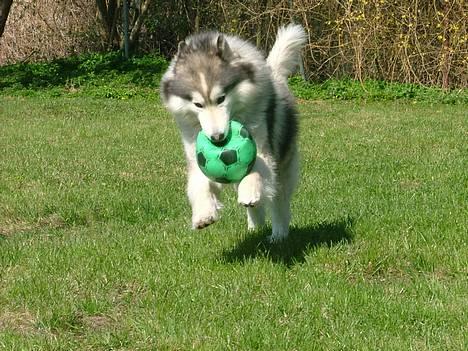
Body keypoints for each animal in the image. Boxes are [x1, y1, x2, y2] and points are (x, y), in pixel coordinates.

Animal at [161, 22, 308, 242]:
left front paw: (249, 191)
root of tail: (274, 73)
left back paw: (278, 234)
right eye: (198, 104)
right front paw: (203, 214)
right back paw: (255, 227)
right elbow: (199, 184)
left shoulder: (262, 147)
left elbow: (257, 168)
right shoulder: (197, 156)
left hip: (284, 168)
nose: (217, 138)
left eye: (221, 98)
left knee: (279, 201)